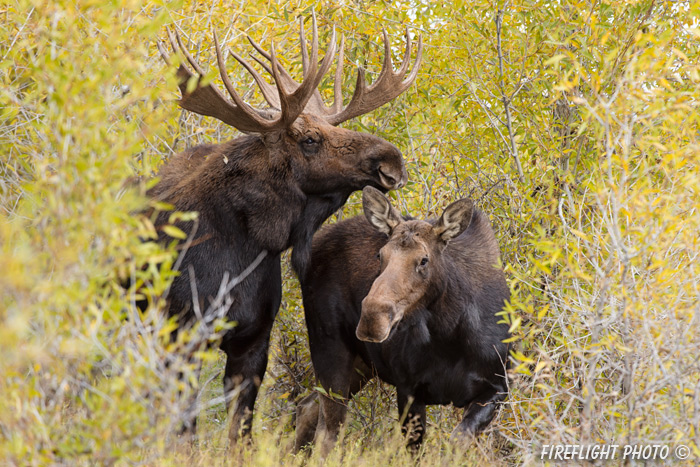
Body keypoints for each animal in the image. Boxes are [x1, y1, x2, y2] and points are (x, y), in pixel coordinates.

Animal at [145, 16, 422, 444]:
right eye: (310, 139)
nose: (391, 159)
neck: (241, 251)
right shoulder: (180, 338)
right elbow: (185, 433)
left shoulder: (254, 341)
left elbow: (240, 435)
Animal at [294, 187, 508, 458]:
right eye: (380, 255)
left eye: (424, 260)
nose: (372, 318)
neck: (450, 335)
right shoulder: (408, 389)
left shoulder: (497, 387)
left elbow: (456, 442)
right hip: (330, 348)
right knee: (328, 431)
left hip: (362, 364)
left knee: (309, 407)